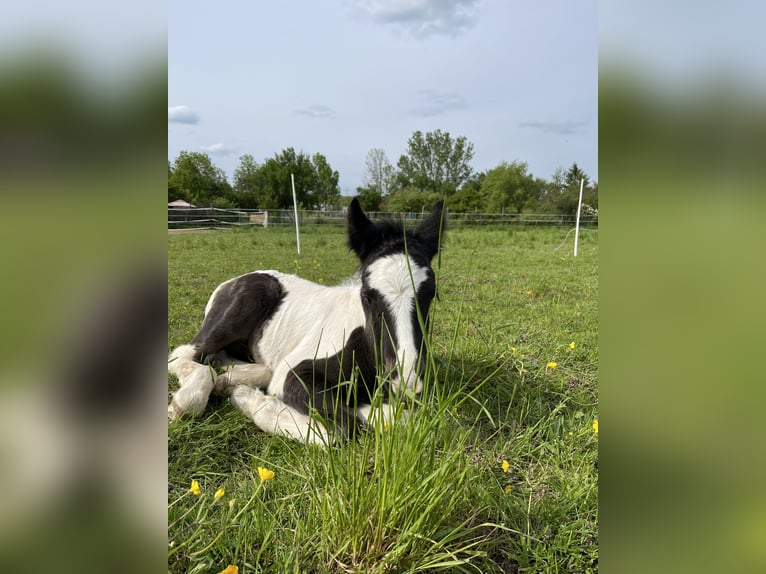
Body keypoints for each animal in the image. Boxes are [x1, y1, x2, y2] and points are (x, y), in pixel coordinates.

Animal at [168, 200, 444, 448]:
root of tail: (236, 278)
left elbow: (405, 417)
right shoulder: (295, 372)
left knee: (235, 362)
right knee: (184, 355)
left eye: (431, 293)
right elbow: (340, 429)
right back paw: (188, 400)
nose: (405, 381)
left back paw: (227, 379)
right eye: (367, 294)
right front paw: (246, 397)